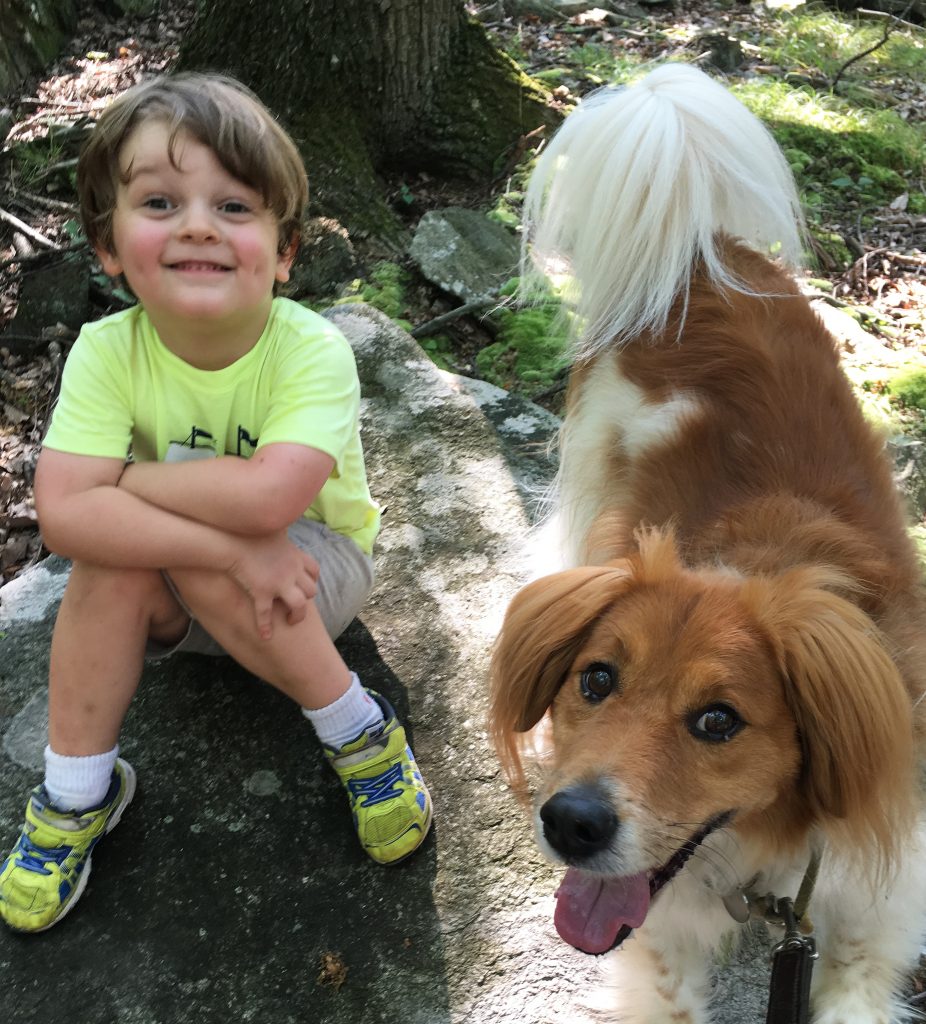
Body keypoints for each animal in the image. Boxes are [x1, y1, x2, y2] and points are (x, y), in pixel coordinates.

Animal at [491, 66, 926, 1024]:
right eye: (595, 681)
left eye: (718, 721)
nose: (570, 822)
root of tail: (699, 257)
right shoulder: (660, 932)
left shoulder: (878, 913)